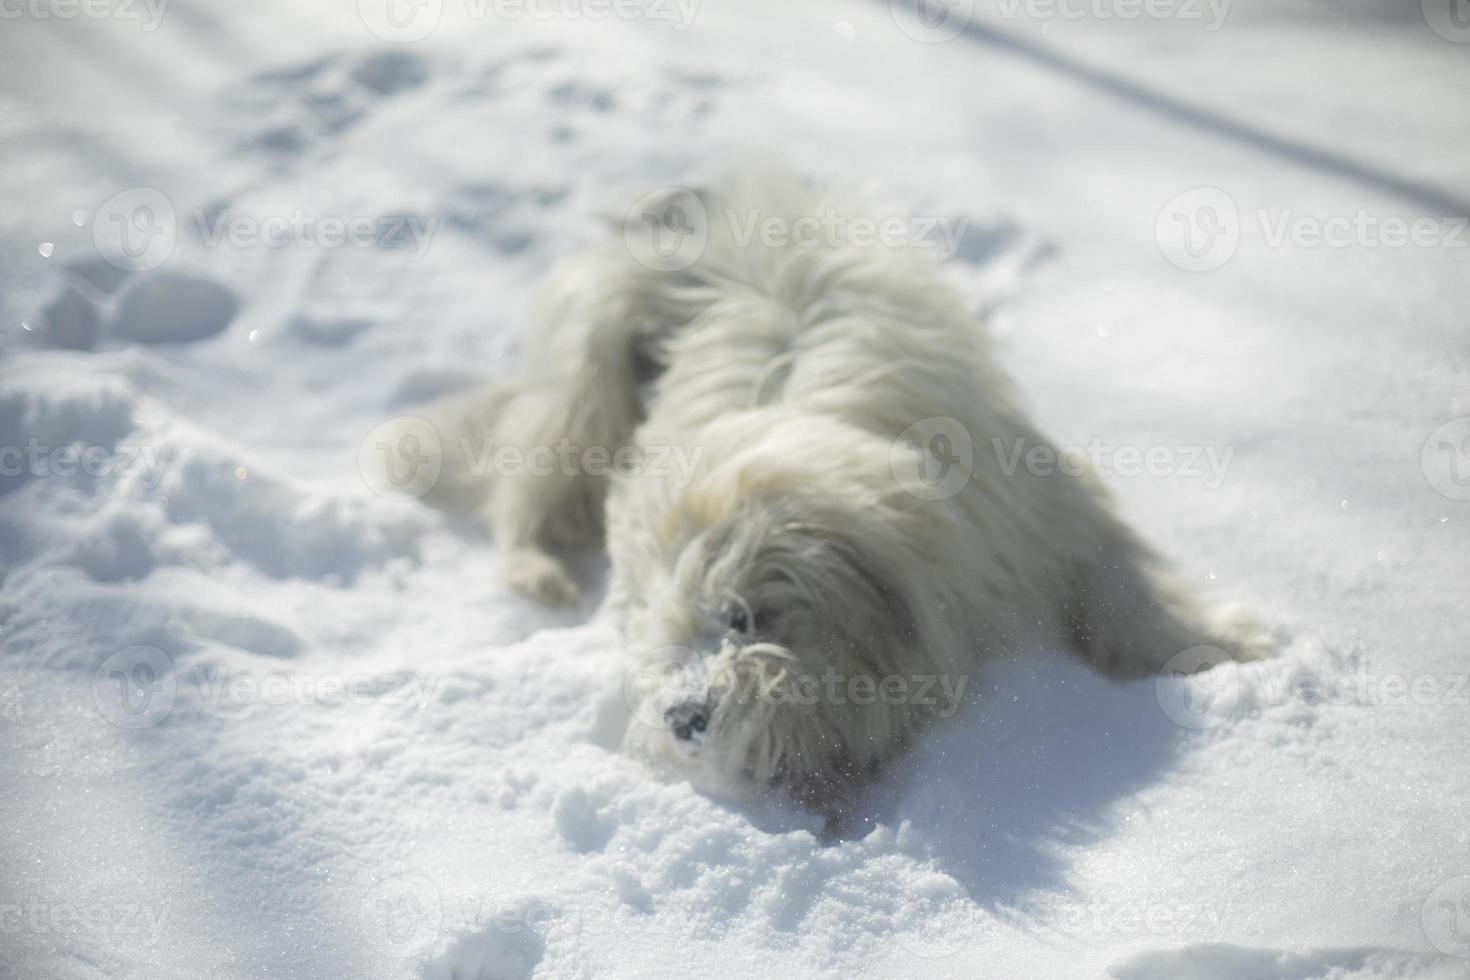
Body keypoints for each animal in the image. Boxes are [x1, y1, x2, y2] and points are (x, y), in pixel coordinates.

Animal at [411, 170, 1252, 811]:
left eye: (744, 616)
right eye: (669, 628)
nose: (683, 717)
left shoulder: (1035, 521)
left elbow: (1125, 588)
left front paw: (1229, 653)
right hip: (586, 374)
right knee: (526, 491)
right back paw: (542, 574)